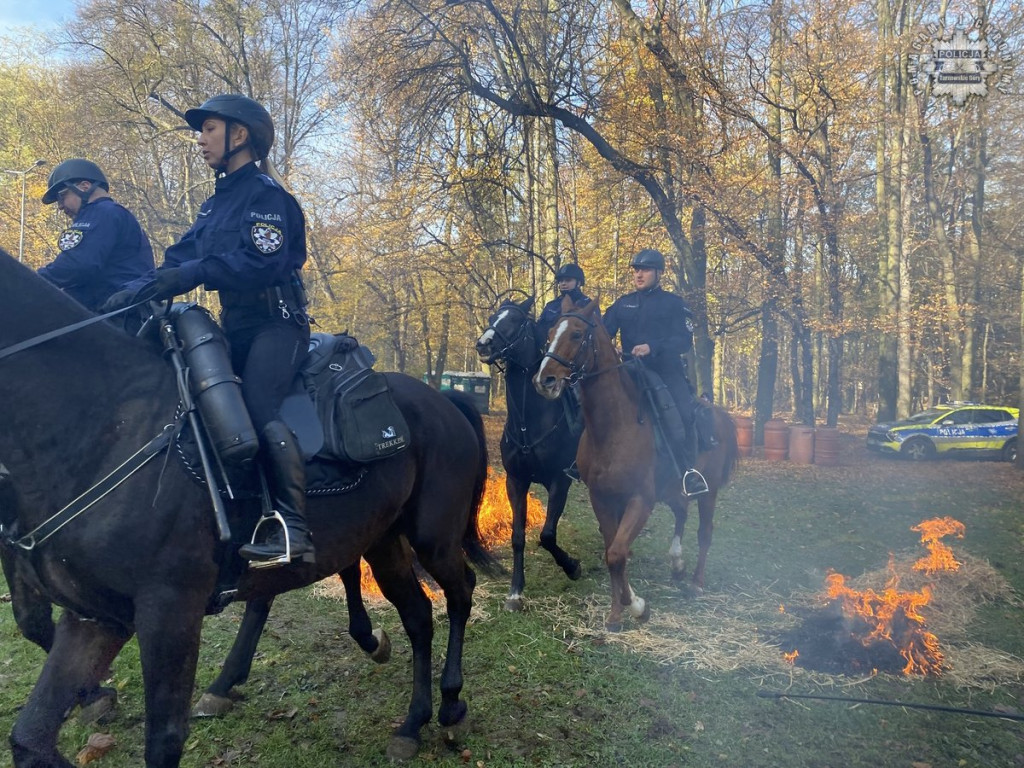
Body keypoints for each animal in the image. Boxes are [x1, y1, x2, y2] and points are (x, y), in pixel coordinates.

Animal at [0, 249, 495, 765]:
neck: (108, 426)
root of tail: (444, 401)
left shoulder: (168, 610)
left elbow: (163, 739)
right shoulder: (97, 617)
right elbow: (29, 735)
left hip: (432, 539)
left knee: (460, 592)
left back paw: (452, 703)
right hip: (383, 543)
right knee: (418, 615)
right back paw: (412, 722)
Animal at [473, 296, 581, 610]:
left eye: (515, 320)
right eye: (493, 317)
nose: (483, 345)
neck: (528, 423)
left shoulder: (560, 481)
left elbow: (547, 535)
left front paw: (572, 567)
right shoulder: (516, 481)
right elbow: (518, 536)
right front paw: (515, 592)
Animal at [536, 296, 737, 626]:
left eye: (577, 334)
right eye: (550, 332)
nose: (545, 380)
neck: (615, 427)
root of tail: (719, 414)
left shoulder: (641, 500)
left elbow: (618, 552)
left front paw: (637, 606)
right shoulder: (603, 499)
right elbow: (613, 552)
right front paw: (617, 612)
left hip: (708, 492)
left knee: (705, 532)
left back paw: (696, 582)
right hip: (671, 489)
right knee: (681, 512)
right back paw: (677, 564)